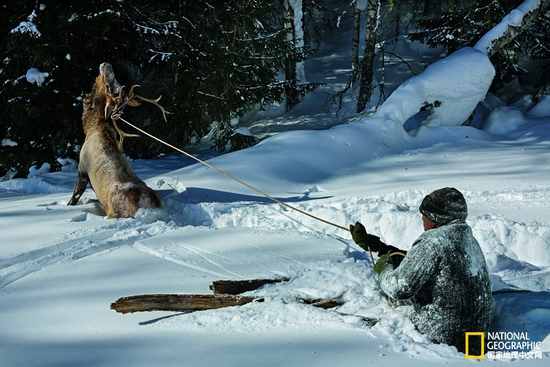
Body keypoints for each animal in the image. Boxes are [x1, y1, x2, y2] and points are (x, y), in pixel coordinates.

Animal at [68, 63, 169, 218]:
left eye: (108, 87)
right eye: (114, 84)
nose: (106, 64)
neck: (91, 128)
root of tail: (147, 205)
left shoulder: (82, 167)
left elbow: (75, 195)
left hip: (115, 212)